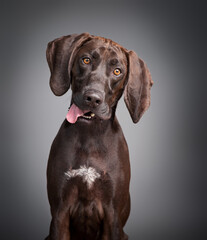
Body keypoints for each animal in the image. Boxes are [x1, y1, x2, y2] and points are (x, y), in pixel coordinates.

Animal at [45, 32, 152, 240]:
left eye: (117, 71)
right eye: (86, 60)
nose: (93, 98)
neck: (90, 135)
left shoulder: (113, 216)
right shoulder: (60, 212)